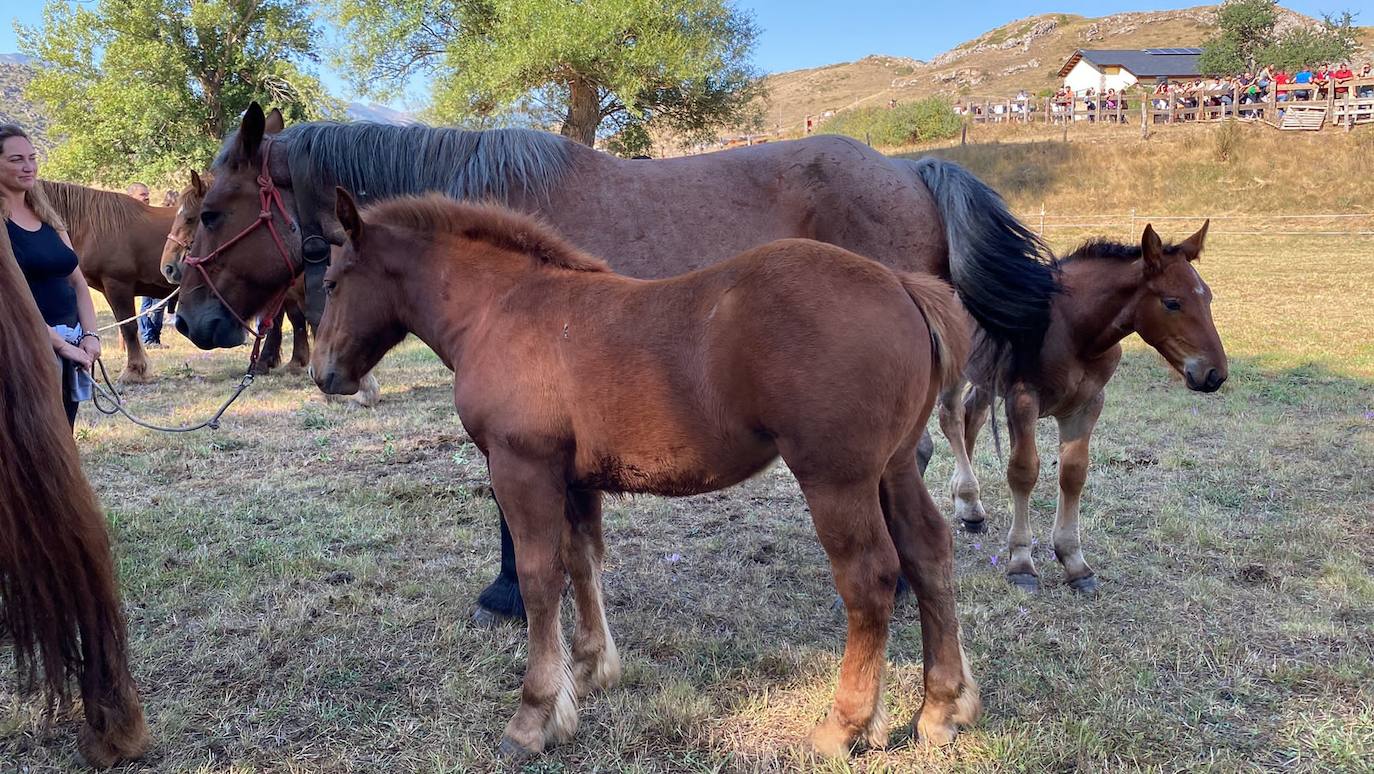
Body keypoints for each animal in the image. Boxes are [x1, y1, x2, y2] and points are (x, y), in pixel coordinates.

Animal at [39, 182, 178, 387]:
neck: (91, 226)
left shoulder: (118, 285)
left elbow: (129, 328)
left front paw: (134, 371)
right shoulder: (109, 290)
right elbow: (125, 326)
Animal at [311, 192, 983, 758]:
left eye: (332, 281)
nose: (324, 374)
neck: (501, 311)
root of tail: (900, 282)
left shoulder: (521, 467)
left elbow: (538, 579)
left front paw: (532, 718)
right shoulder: (572, 478)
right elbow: (580, 560)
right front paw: (586, 673)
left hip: (836, 477)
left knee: (869, 578)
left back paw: (842, 727)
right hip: (892, 466)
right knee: (929, 551)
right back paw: (941, 709)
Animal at [939, 221, 1231, 596]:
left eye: (1207, 296)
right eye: (1172, 302)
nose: (1214, 374)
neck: (1072, 329)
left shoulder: (1087, 405)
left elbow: (1073, 474)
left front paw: (1074, 562)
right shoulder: (1023, 399)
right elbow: (1023, 471)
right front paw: (1021, 562)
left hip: (986, 377)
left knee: (971, 417)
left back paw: (970, 508)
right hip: (955, 370)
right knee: (951, 418)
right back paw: (967, 496)